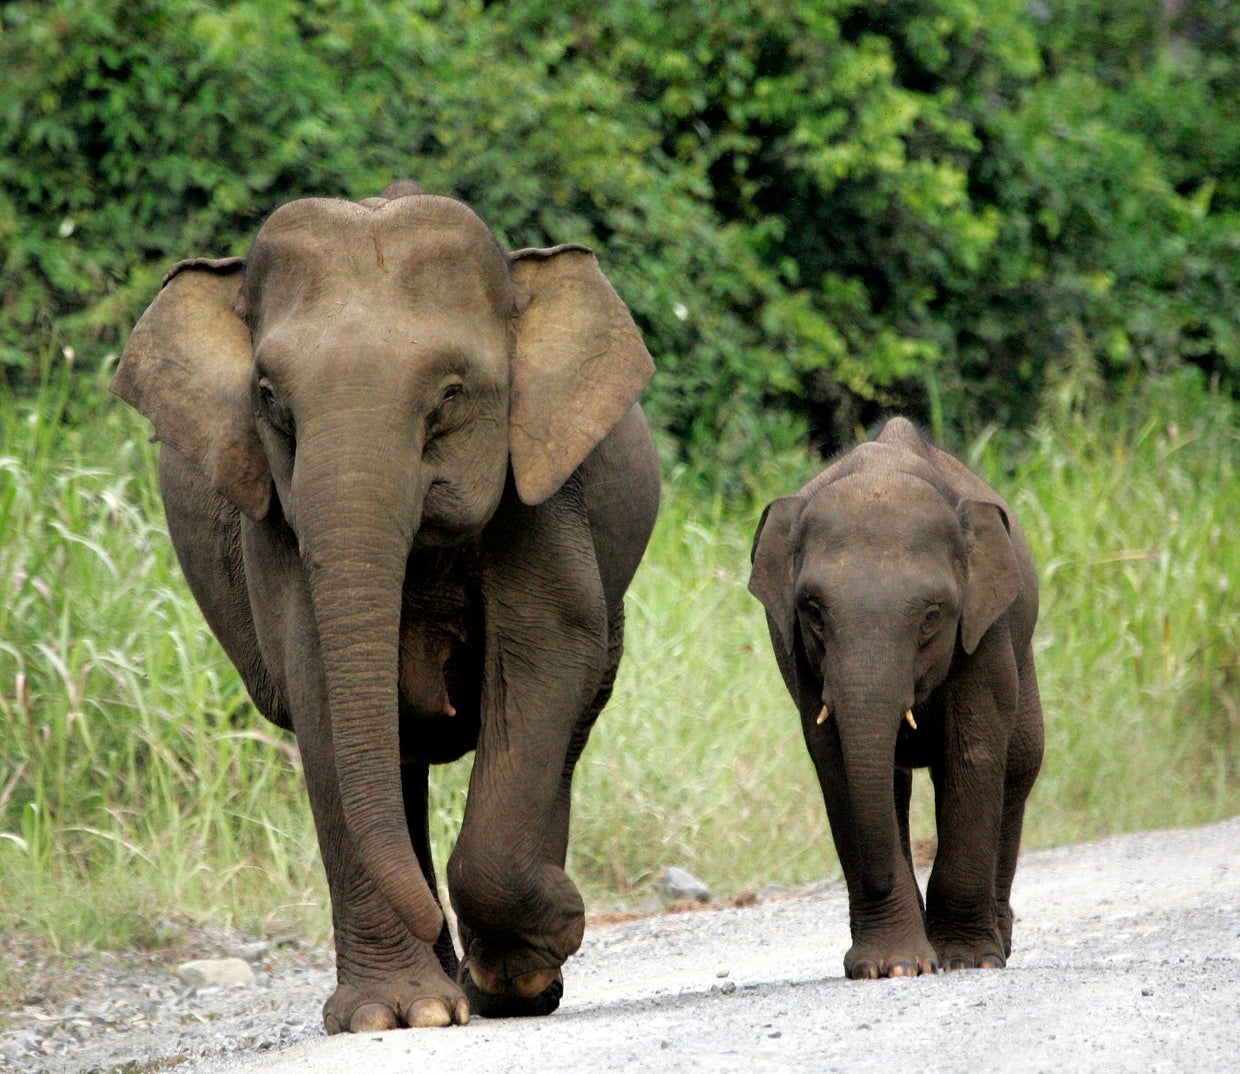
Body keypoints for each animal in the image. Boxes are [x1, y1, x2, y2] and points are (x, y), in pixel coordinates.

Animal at [110, 181, 660, 1031]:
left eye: (452, 397)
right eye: (269, 401)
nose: (572, 912)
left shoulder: (544, 489)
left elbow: (545, 650)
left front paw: (540, 942)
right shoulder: (274, 519)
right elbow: (318, 683)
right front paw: (398, 1015)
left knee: (572, 711)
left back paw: (514, 982)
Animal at [748, 417, 1043, 979]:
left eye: (931, 617)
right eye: (813, 611)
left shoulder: (983, 631)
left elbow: (974, 753)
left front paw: (965, 960)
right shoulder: (799, 656)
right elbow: (837, 761)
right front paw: (893, 966)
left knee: (1020, 763)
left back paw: (999, 944)